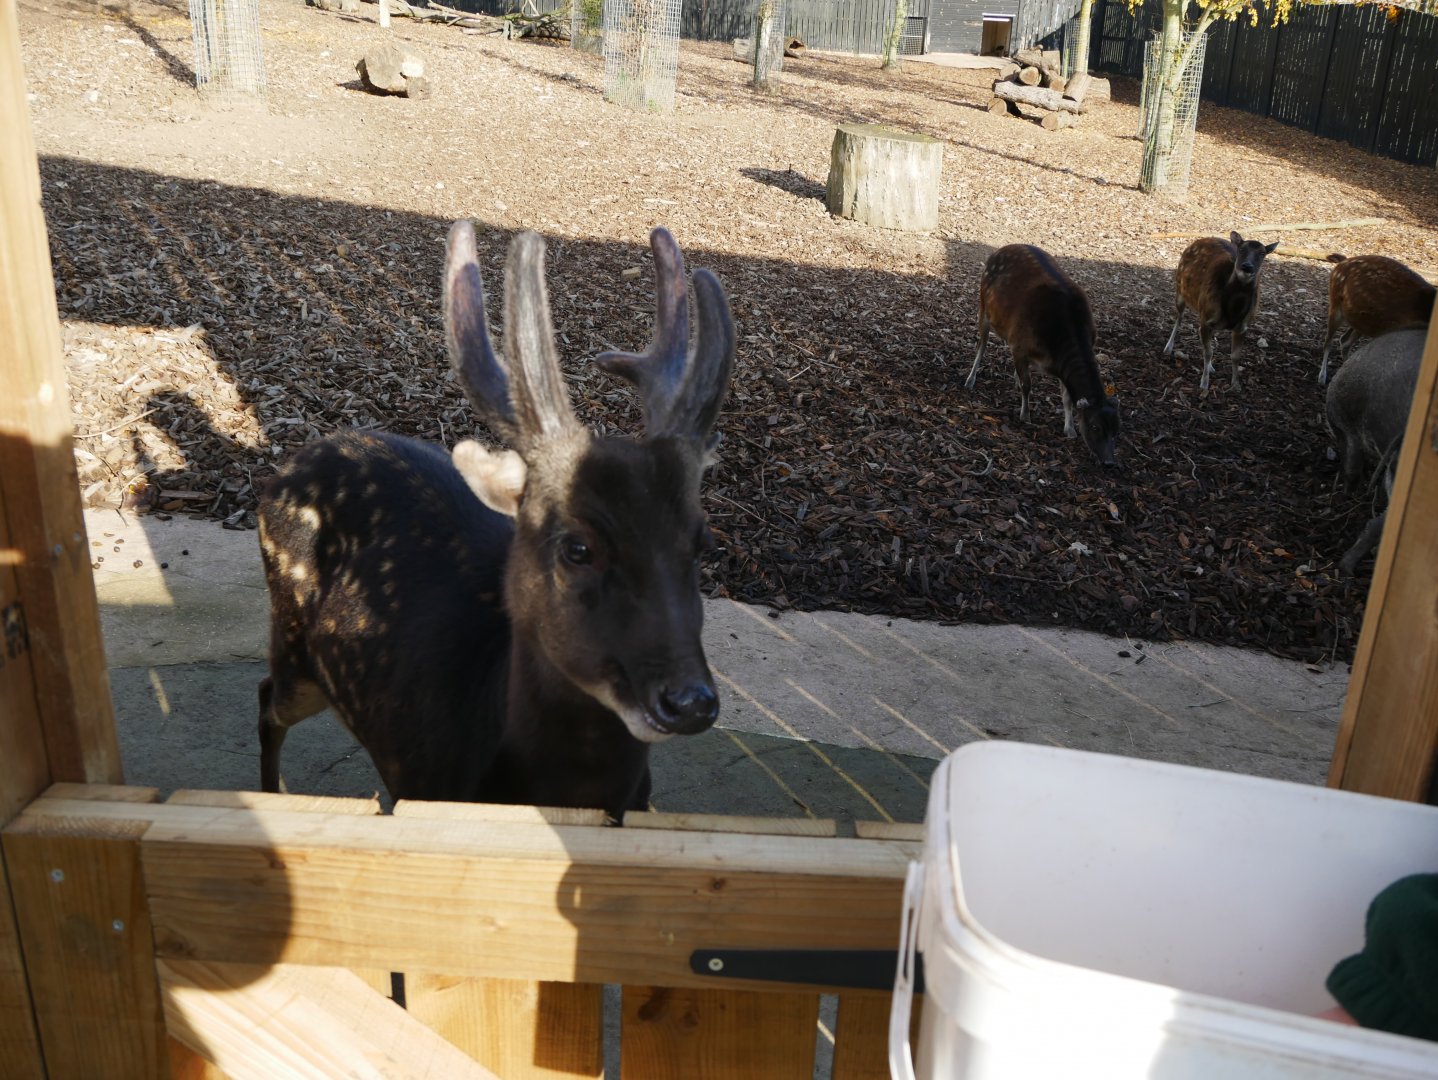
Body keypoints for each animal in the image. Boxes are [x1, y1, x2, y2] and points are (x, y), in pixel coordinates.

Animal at [254, 221, 736, 819]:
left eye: (702, 542)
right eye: (577, 547)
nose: (690, 702)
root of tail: (287, 466)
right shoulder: (418, 784)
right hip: (294, 645)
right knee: (266, 700)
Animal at [964, 244, 1119, 466]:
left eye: (1116, 430)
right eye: (1094, 426)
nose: (1109, 461)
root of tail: (998, 251)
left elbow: (1066, 397)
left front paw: (1069, 429)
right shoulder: (1019, 345)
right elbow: (1027, 385)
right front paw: (1025, 415)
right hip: (983, 305)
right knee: (982, 345)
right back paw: (970, 380)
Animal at [1163, 231, 1278, 393]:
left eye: (1262, 253)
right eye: (1241, 249)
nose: (1247, 266)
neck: (1232, 311)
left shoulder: (1243, 326)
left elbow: (1235, 356)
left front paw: (1236, 384)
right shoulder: (1206, 318)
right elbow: (1208, 351)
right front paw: (1204, 383)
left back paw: (1210, 366)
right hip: (1180, 289)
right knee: (1179, 318)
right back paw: (1168, 347)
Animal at [1317, 254, 1435, 386]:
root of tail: (1343, 261)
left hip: (1361, 319)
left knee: (1344, 340)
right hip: (1335, 303)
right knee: (1329, 341)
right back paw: (1322, 377)